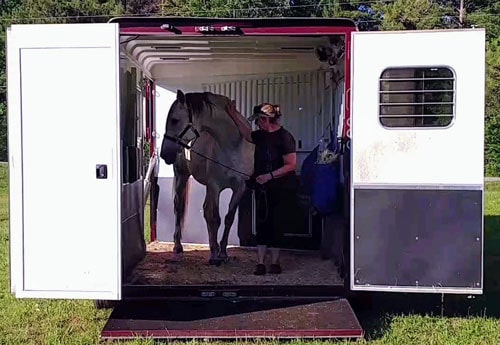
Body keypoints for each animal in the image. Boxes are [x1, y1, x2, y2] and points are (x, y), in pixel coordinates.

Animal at [160, 90, 254, 264]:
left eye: (175, 120)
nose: (164, 153)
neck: (233, 145)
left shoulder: (239, 188)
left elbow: (228, 218)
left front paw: (222, 251)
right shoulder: (214, 187)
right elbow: (215, 218)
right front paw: (215, 255)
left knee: (205, 211)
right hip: (182, 177)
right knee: (179, 207)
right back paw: (178, 246)